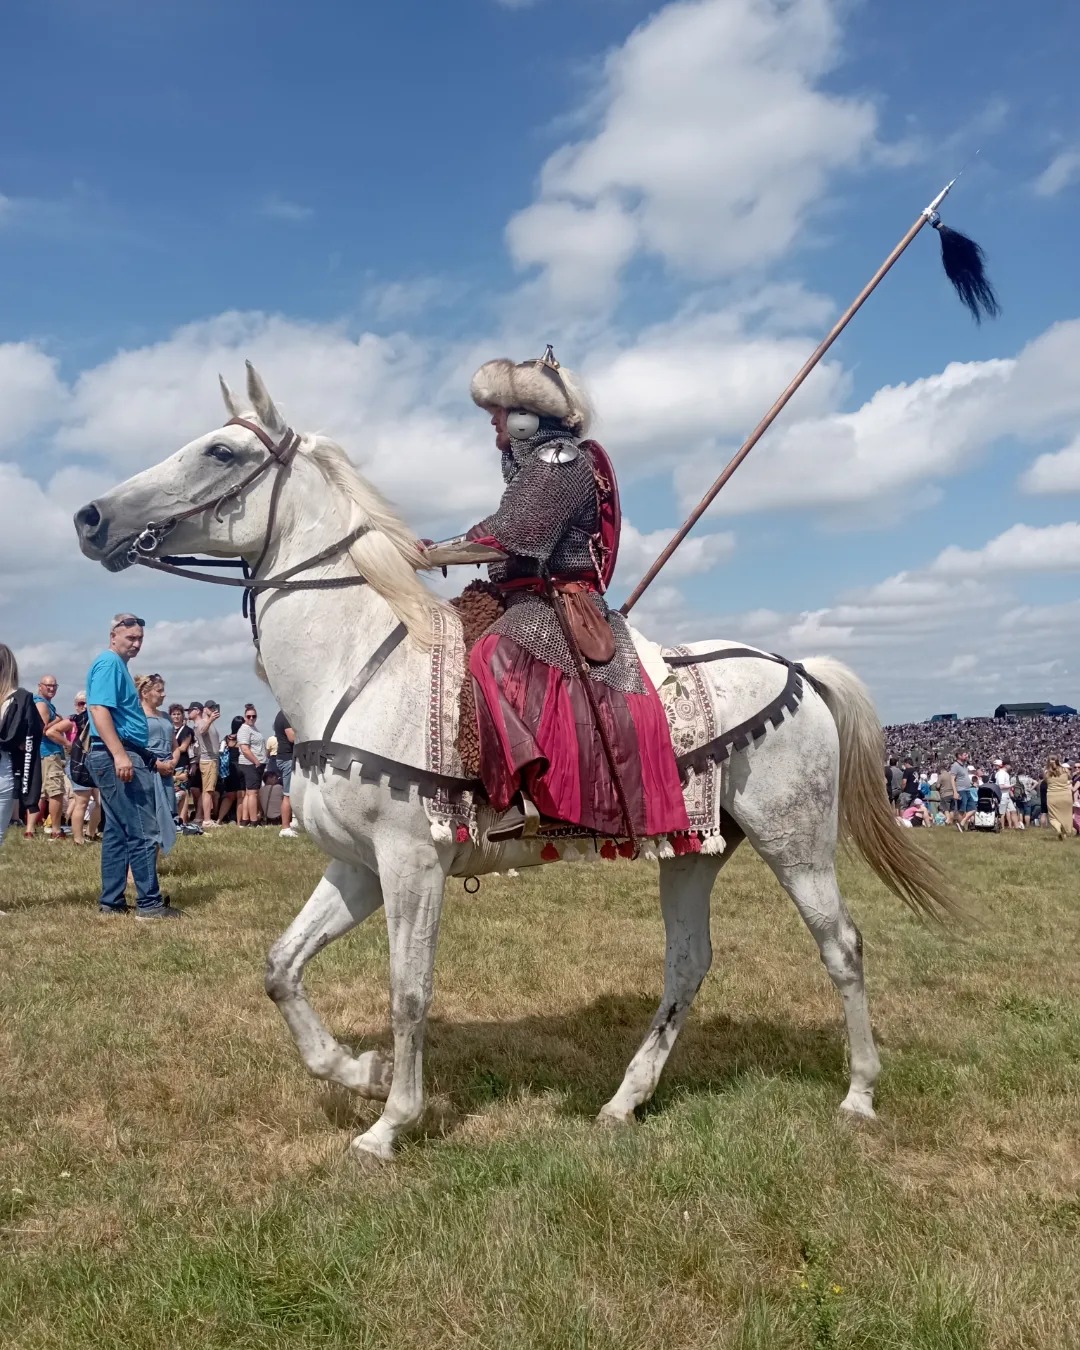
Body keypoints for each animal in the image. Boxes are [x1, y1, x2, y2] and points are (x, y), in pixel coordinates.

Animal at [75, 364, 955, 1166]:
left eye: (221, 451)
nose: (90, 517)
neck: (358, 661)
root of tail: (795, 670)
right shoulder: (357, 866)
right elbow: (281, 968)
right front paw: (359, 1072)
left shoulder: (409, 862)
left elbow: (408, 992)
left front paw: (388, 1125)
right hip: (696, 848)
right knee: (688, 963)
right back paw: (625, 1101)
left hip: (795, 840)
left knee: (841, 947)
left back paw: (859, 1093)